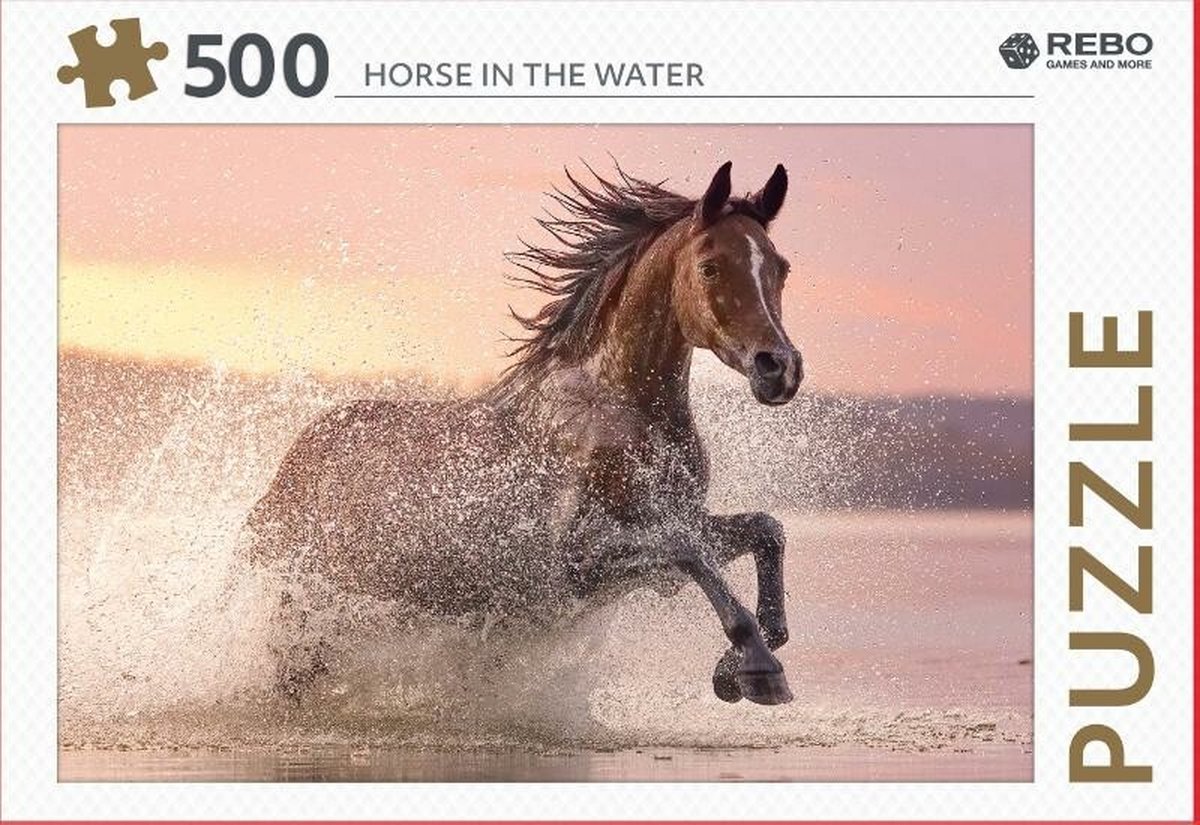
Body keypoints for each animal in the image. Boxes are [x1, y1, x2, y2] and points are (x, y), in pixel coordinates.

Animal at [245, 160, 804, 706]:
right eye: (710, 266)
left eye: (780, 268)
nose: (779, 368)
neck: (617, 414)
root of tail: (287, 470)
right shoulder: (574, 565)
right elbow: (689, 553)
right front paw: (758, 670)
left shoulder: (677, 527)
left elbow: (766, 531)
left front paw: (735, 667)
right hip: (304, 614)